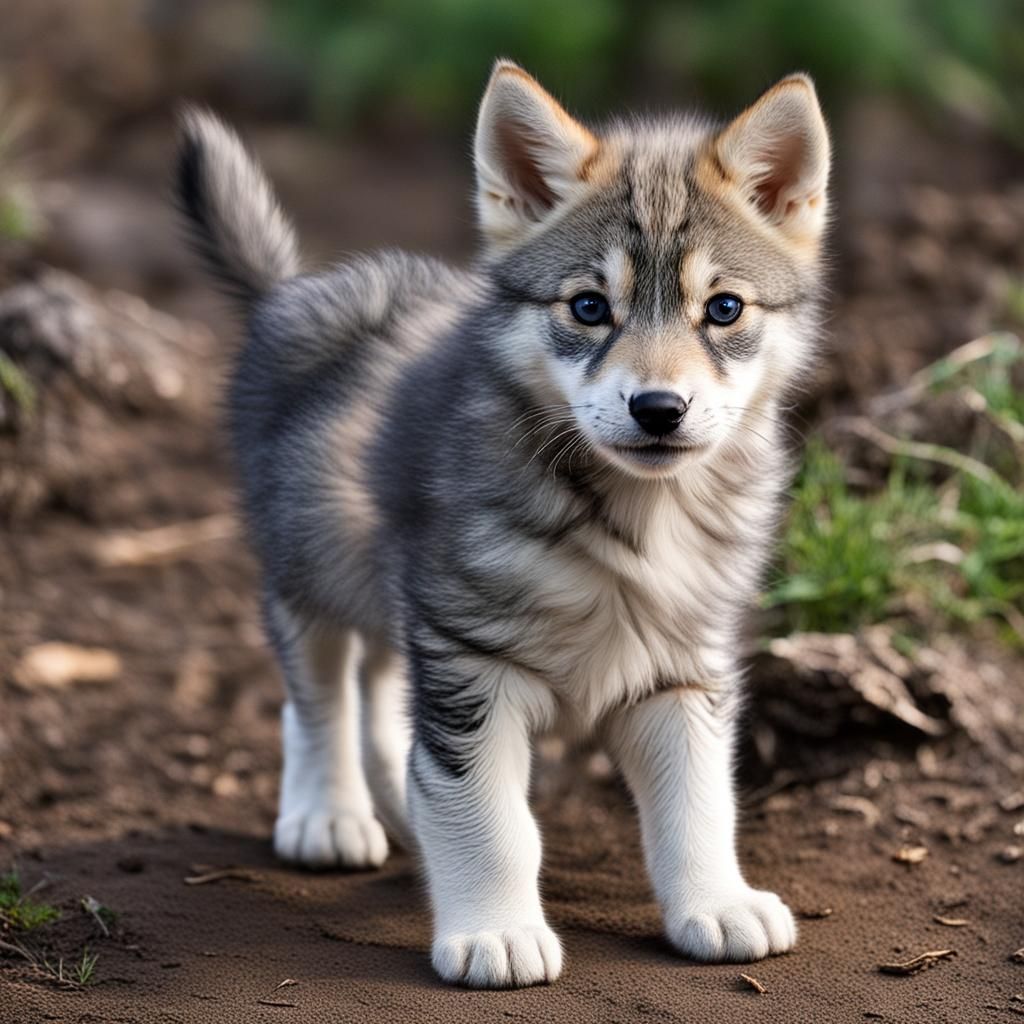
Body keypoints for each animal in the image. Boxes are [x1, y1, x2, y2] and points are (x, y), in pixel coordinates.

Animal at [176, 60, 830, 989]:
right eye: (588, 307)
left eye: (726, 309)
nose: (658, 409)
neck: (633, 520)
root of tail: (293, 292)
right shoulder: (469, 661)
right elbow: (486, 813)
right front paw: (493, 928)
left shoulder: (681, 670)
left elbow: (699, 804)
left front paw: (716, 902)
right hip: (312, 566)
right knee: (317, 696)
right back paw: (326, 812)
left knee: (381, 692)